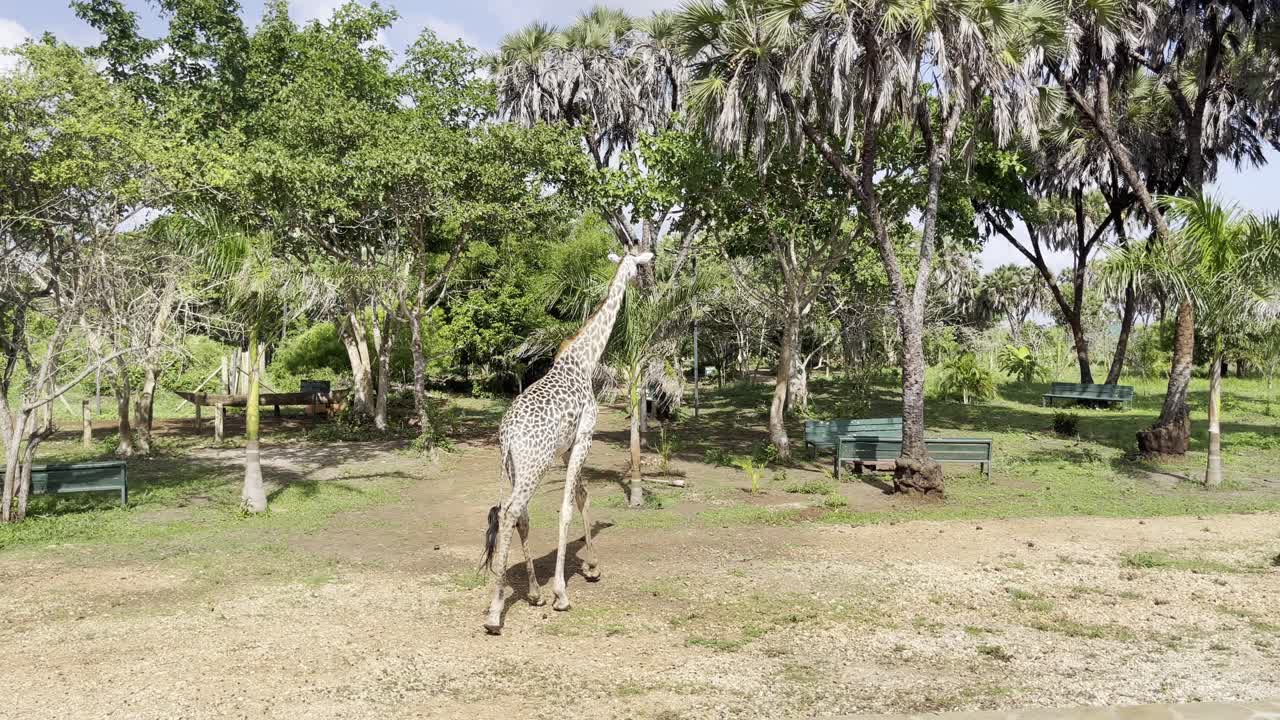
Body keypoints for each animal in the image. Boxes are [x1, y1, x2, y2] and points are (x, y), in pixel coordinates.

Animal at [480, 250, 654, 635]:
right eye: (640, 266)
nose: (646, 287)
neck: (584, 361)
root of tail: (508, 435)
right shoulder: (586, 435)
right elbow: (566, 508)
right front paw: (562, 593)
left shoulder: (566, 448)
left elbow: (581, 496)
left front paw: (591, 567)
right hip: (534, 464)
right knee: (511, 512)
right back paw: (495, 612)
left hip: (514, 466)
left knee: (516, 514)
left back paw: (530, 593)